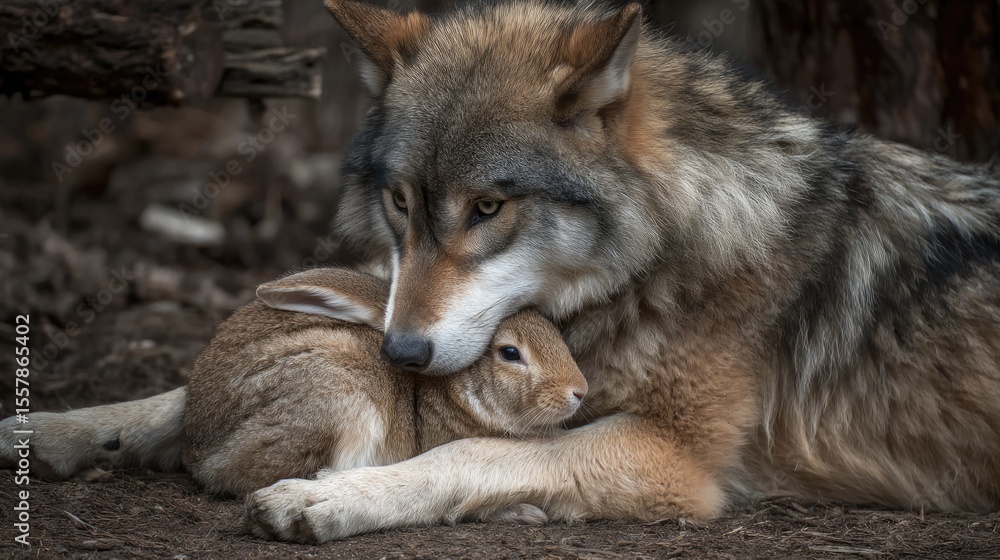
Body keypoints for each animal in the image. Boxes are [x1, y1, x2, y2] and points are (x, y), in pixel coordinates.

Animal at [3, 0, 1000, 544]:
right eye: (402, 202)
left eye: (489, 208)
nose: (399, 355)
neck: (665, 254)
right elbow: (168, 399)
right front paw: (46, 430)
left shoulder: (675, 454)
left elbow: (470, 450)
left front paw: (328, 497)